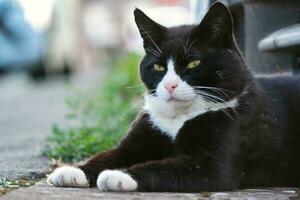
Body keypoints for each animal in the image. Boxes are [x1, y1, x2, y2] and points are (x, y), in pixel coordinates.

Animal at [47, 1, 300, 192]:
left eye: (193, 63)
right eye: (158, 66)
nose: (169, 85)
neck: (177, 119)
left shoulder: (212, 164)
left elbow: (162, 166)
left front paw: (120, 176)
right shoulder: (142, 134)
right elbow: (108, 155)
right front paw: (73, 170)